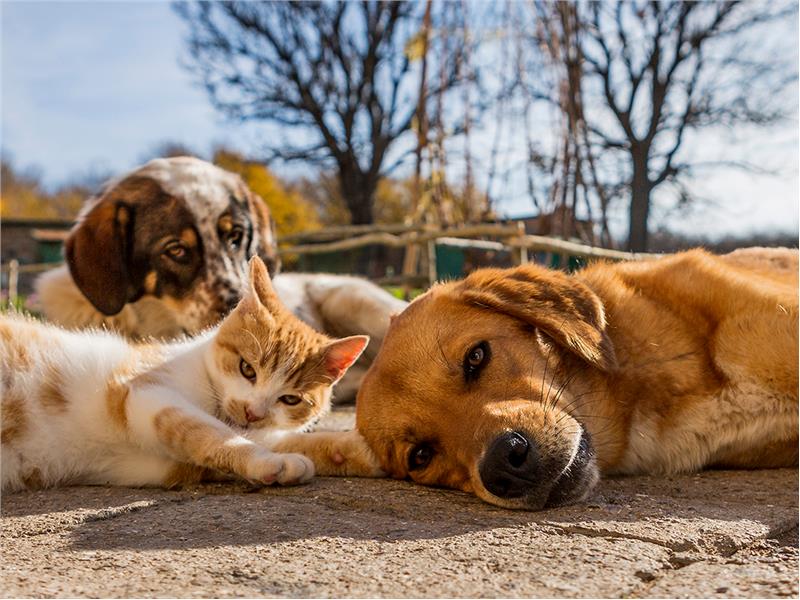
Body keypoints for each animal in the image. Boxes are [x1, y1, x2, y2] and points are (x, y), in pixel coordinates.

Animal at [1, 255, 382, 490]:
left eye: (290, 399)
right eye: (247, 369)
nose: (252, 411)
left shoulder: (142, 465)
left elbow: (266, 438)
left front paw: (353, 450)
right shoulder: (144, 393)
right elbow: (208, 433)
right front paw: (267, 463)